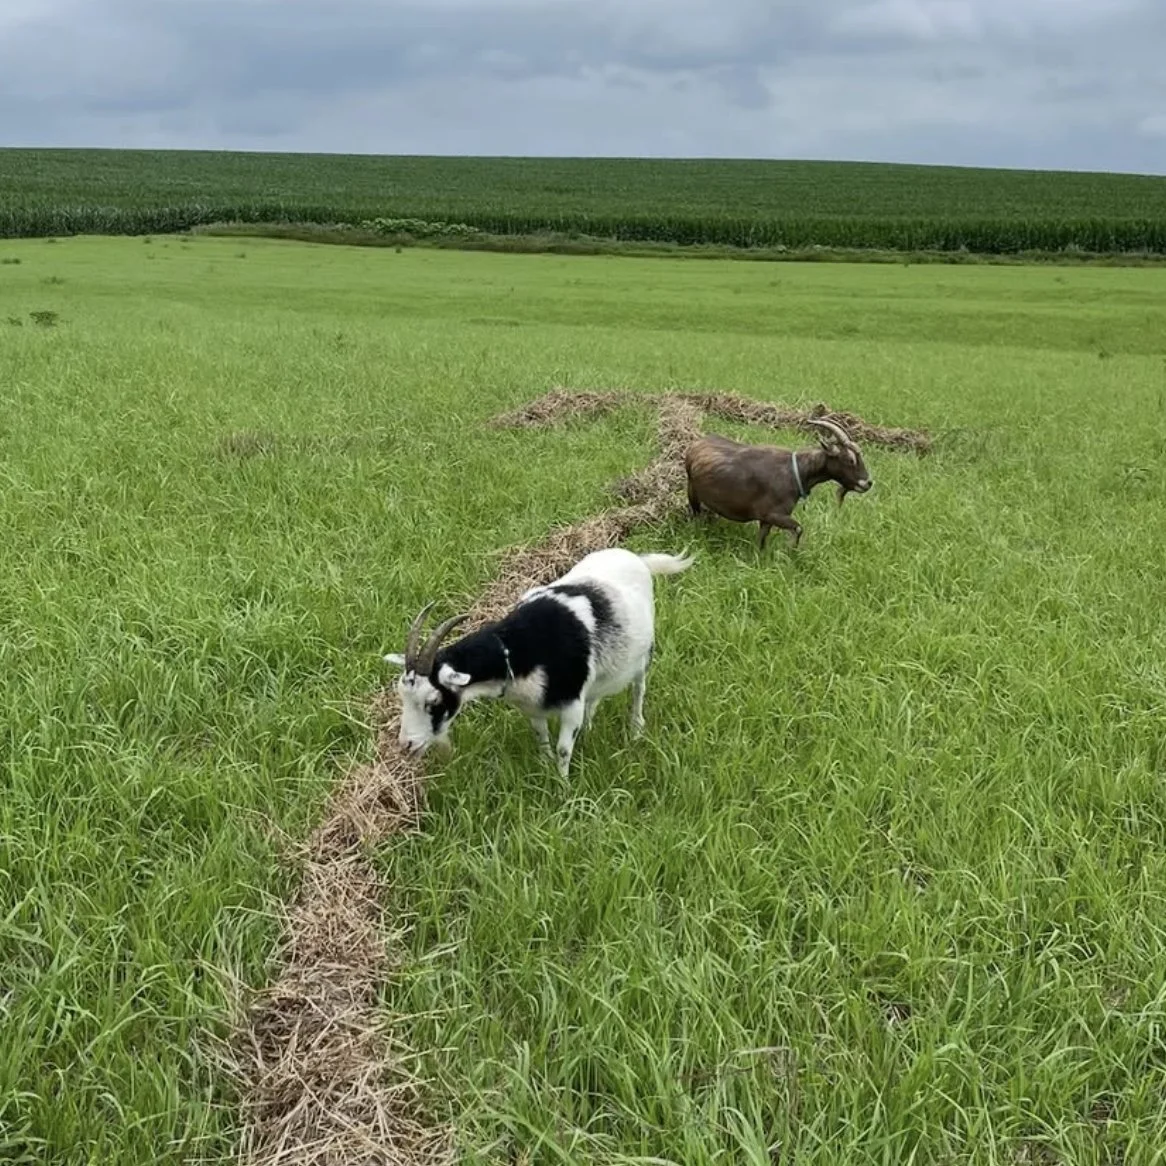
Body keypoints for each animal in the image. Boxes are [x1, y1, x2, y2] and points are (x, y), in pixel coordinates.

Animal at [383, 547, 695, 777]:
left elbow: (563, 750)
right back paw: (590, 730)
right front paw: (545, 770)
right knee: (596, 697)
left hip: (644, 654)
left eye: (433, 702)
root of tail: (635, 558)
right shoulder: (533, 707)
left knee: (639, 688)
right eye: (402, 695)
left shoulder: (571, 703)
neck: (517, 652)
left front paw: (563, 789)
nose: (406, 745)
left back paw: (636, 729)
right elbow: (542, 739)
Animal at [683, 418, 872, 550]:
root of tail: (696, 443)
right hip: (692, 490)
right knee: (696, 513)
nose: (868, 483)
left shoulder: (766, 519)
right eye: (850, 460)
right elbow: (798, 528)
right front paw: (791, 552)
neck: (796, 472)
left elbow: (761, 539)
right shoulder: (773, 514)